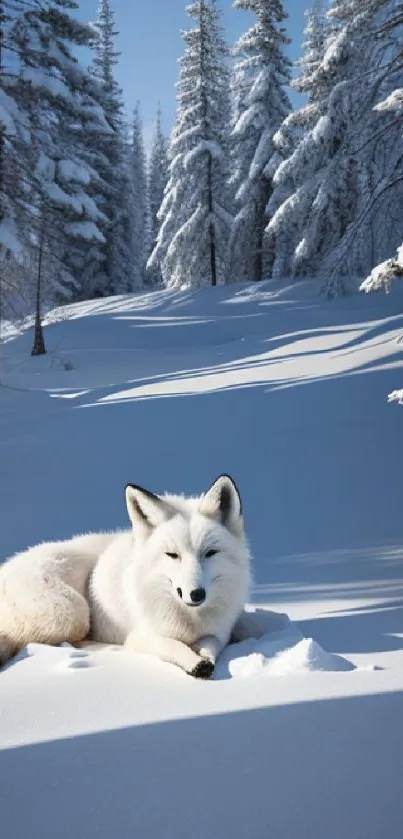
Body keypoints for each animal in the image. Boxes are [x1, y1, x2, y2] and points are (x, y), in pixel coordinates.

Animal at [0, 476, 251, 680]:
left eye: (210, 553)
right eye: (172, 555)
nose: (196, 594)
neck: (190, 620)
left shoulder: (218, 633)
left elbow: (211, 646)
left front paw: (204, 659)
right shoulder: (142, 635)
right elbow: (170, 645)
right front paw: (195, 663)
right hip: (72, 612)